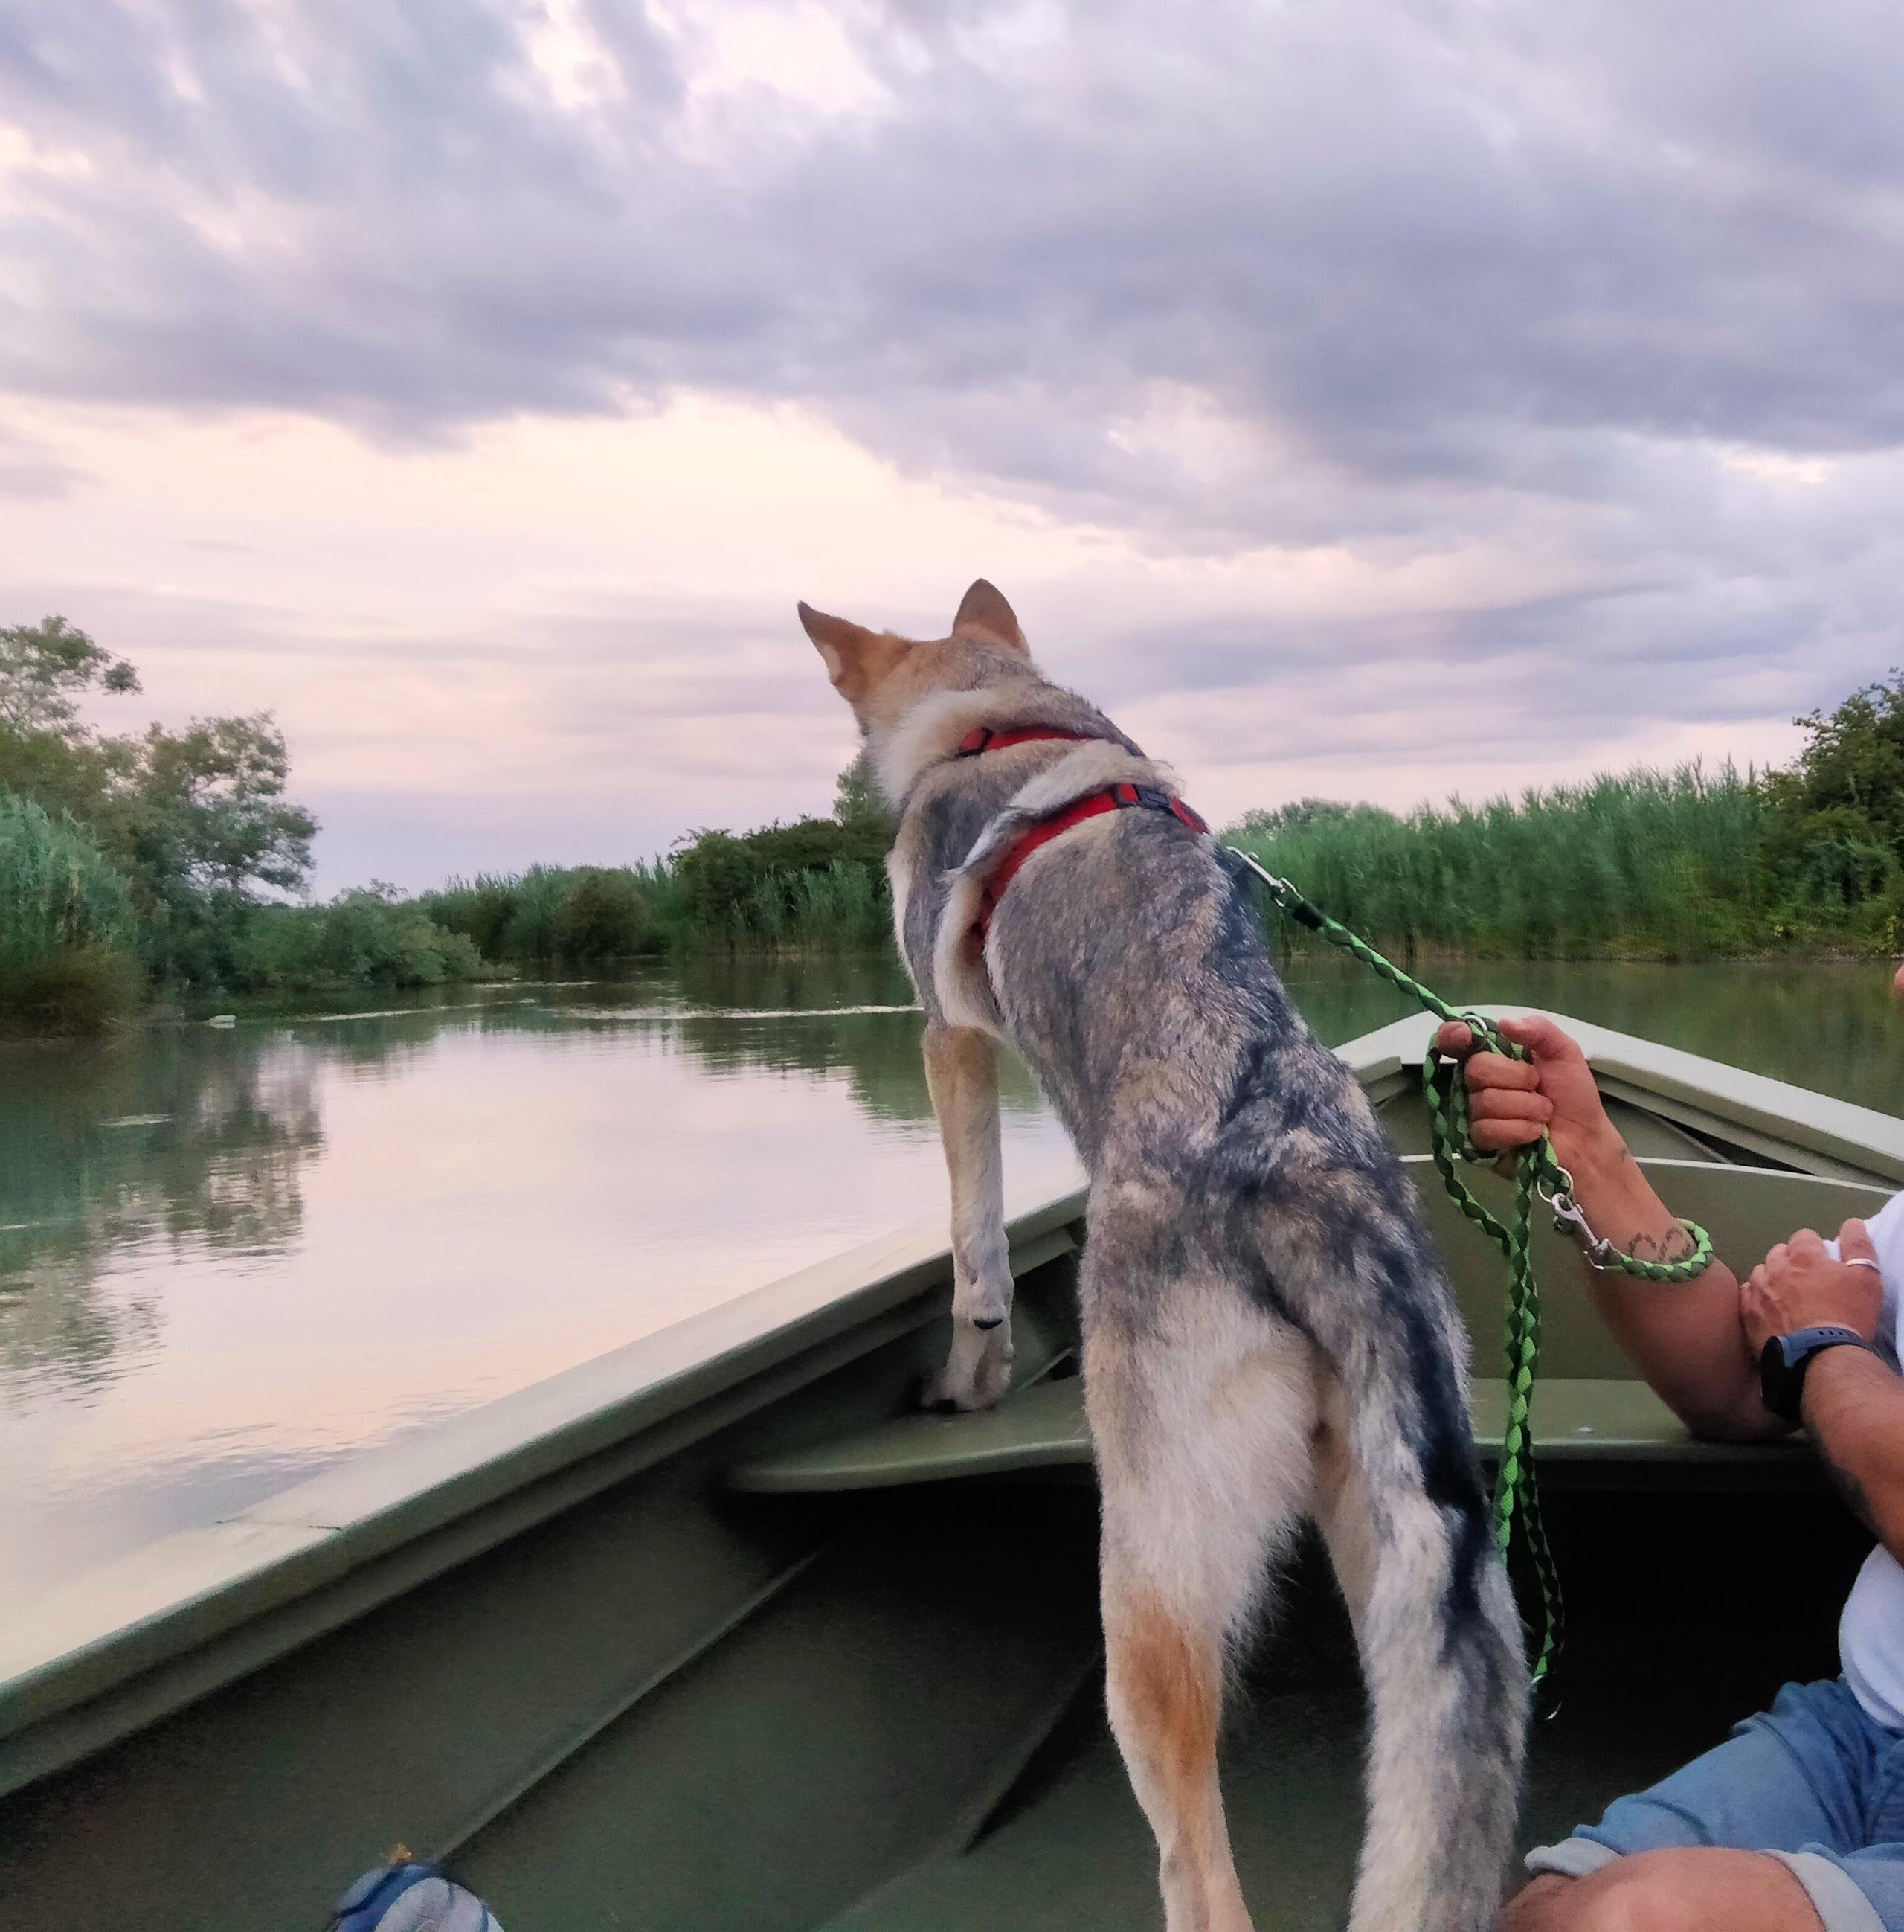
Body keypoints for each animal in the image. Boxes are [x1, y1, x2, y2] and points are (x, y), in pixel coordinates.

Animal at [795, 583, 1521, 1932]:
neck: (1003, 718)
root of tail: (1302, 1173)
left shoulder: (945, 1037)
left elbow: (974, 1249)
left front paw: (969, 1376)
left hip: (1144, 1615)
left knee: (1200, 1871)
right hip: (1416, 1575)